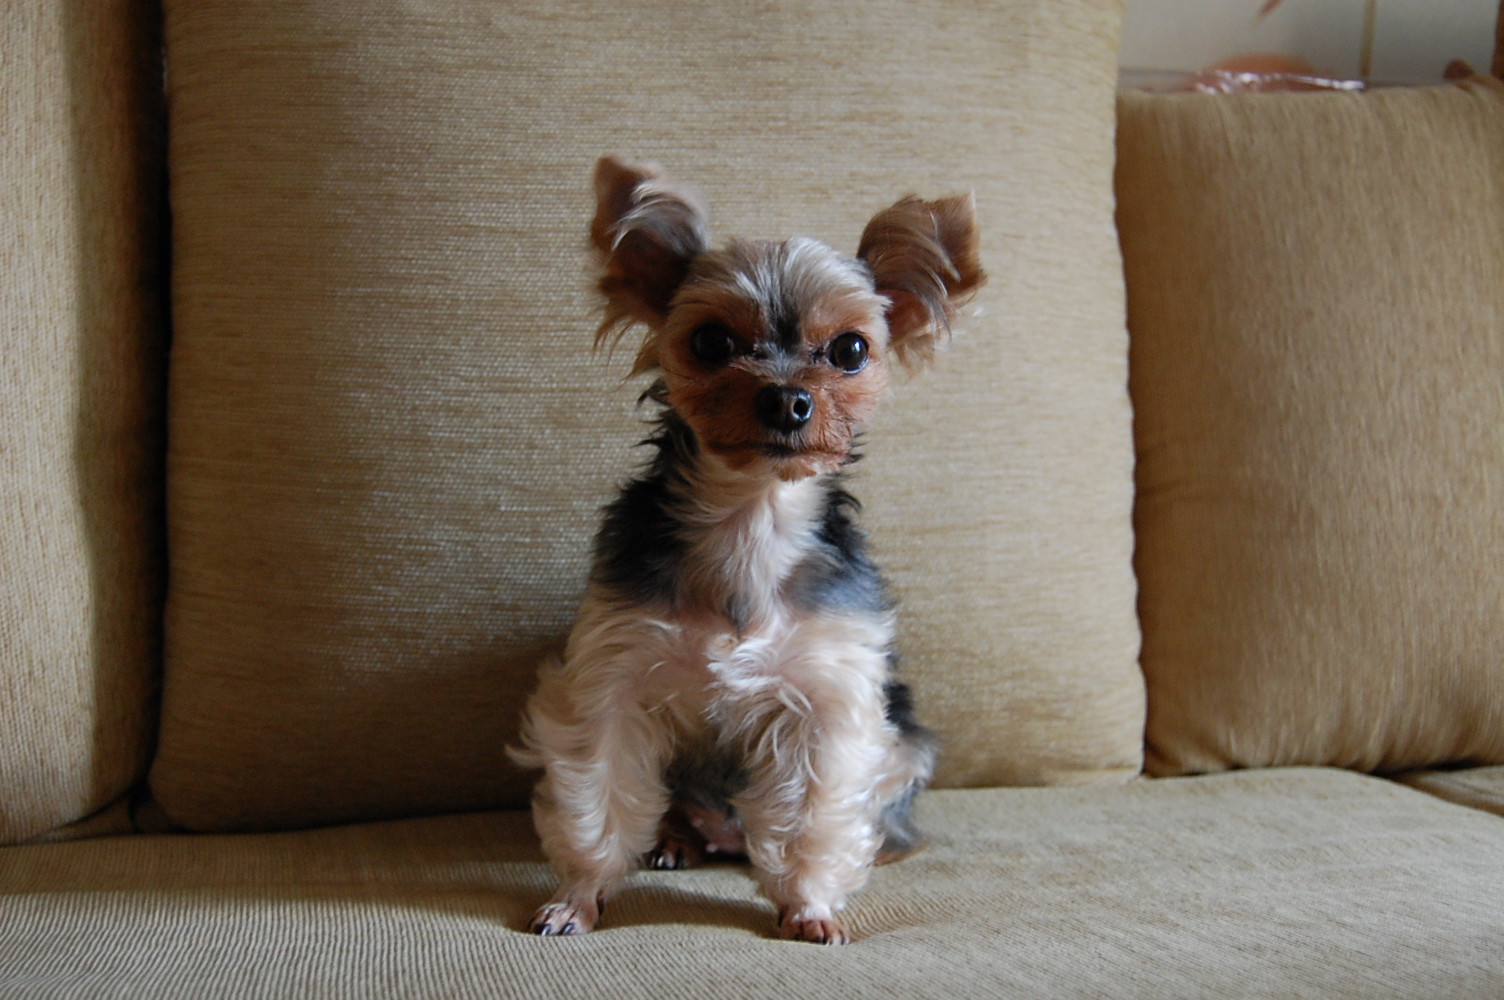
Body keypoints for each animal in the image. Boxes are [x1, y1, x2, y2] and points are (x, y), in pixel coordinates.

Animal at [511, 156, 984, 944]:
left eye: (851, 350)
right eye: (709, 342)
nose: (787, 399)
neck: (751, 520)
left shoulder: (827, 699)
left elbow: (815, 816)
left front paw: (810, 906)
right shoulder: (613, 678)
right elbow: (597, 799)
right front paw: (578, 896)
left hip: (904, 742)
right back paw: (677, 839)